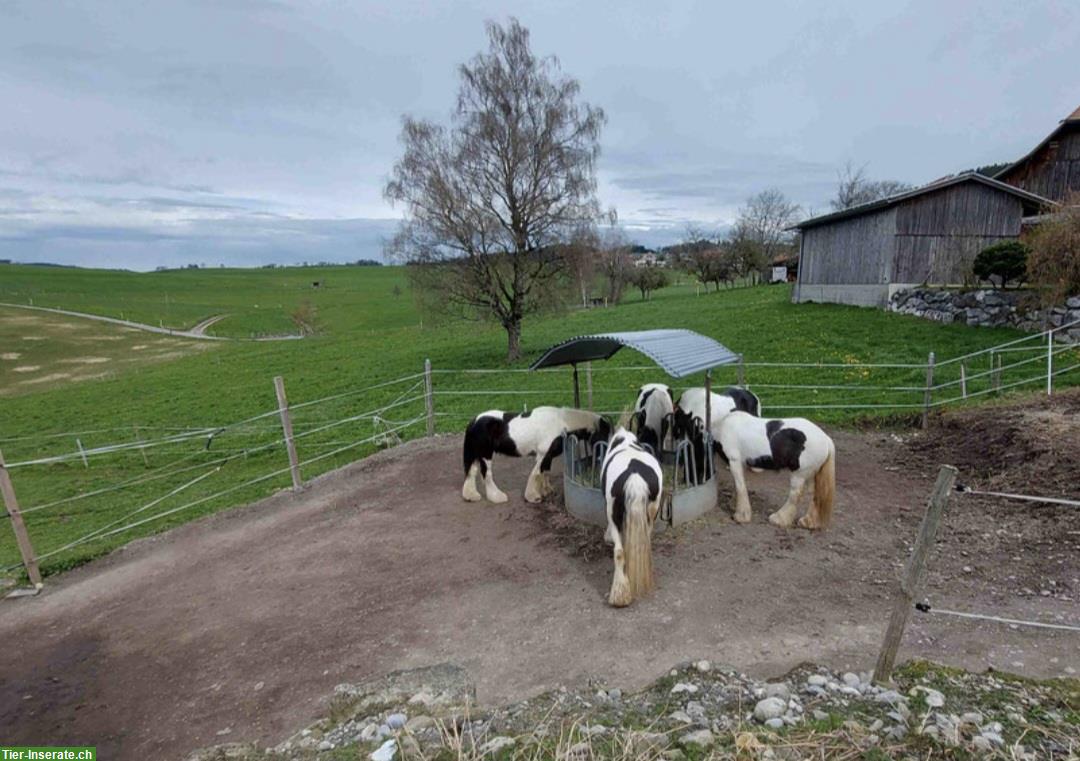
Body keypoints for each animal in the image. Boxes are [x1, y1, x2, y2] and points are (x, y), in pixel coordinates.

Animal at [462, 403, 613, 505]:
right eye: (604, 436)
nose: (602, 459)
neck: (560, 422)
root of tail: (473, 421)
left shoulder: (549, 455)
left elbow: (545, 471)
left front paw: (547, 491)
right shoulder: (542, 454)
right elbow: (536, 473)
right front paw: (533, 497)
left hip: (476, 454)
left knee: (471, 472)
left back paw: (471, 496)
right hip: (485, 454)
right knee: (486, 474)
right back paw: (497, 497)